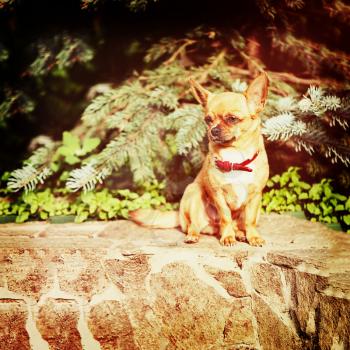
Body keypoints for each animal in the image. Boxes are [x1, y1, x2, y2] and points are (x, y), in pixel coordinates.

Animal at [130, 73, 270, 246]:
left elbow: (250, 221)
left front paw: (253, 237)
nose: (213, 130)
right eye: (208, 120)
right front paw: (228, 237)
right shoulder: (218, 195)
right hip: (194, 192)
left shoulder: (255, 196)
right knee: (195, 225)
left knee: (240, 224)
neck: (235, 158)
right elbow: (225, 217)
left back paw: (240, 234)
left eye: (232, 119)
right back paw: (196, 235)